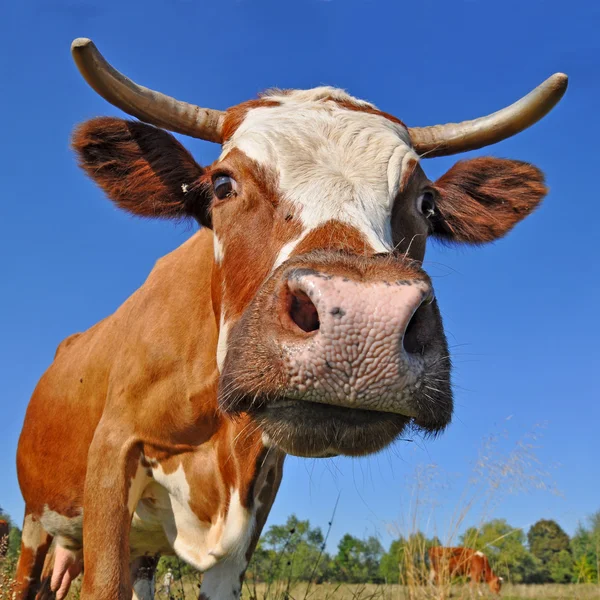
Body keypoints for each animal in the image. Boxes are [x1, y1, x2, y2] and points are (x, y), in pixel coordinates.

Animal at [12, 36, 568, 600]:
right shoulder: (112, 452)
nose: (360, 320)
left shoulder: (255, 501)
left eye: (427, 202)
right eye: (222, 185)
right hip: (37, 522)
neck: (218, 440)